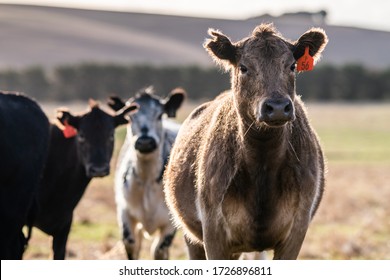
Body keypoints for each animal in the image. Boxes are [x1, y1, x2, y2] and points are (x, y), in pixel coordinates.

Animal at [163, 23, 328, 260]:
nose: (278, 107)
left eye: (292, 65)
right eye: (243, 67)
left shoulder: (296, 231)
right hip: (191, 235)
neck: (262, 163)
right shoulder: (213, 231)